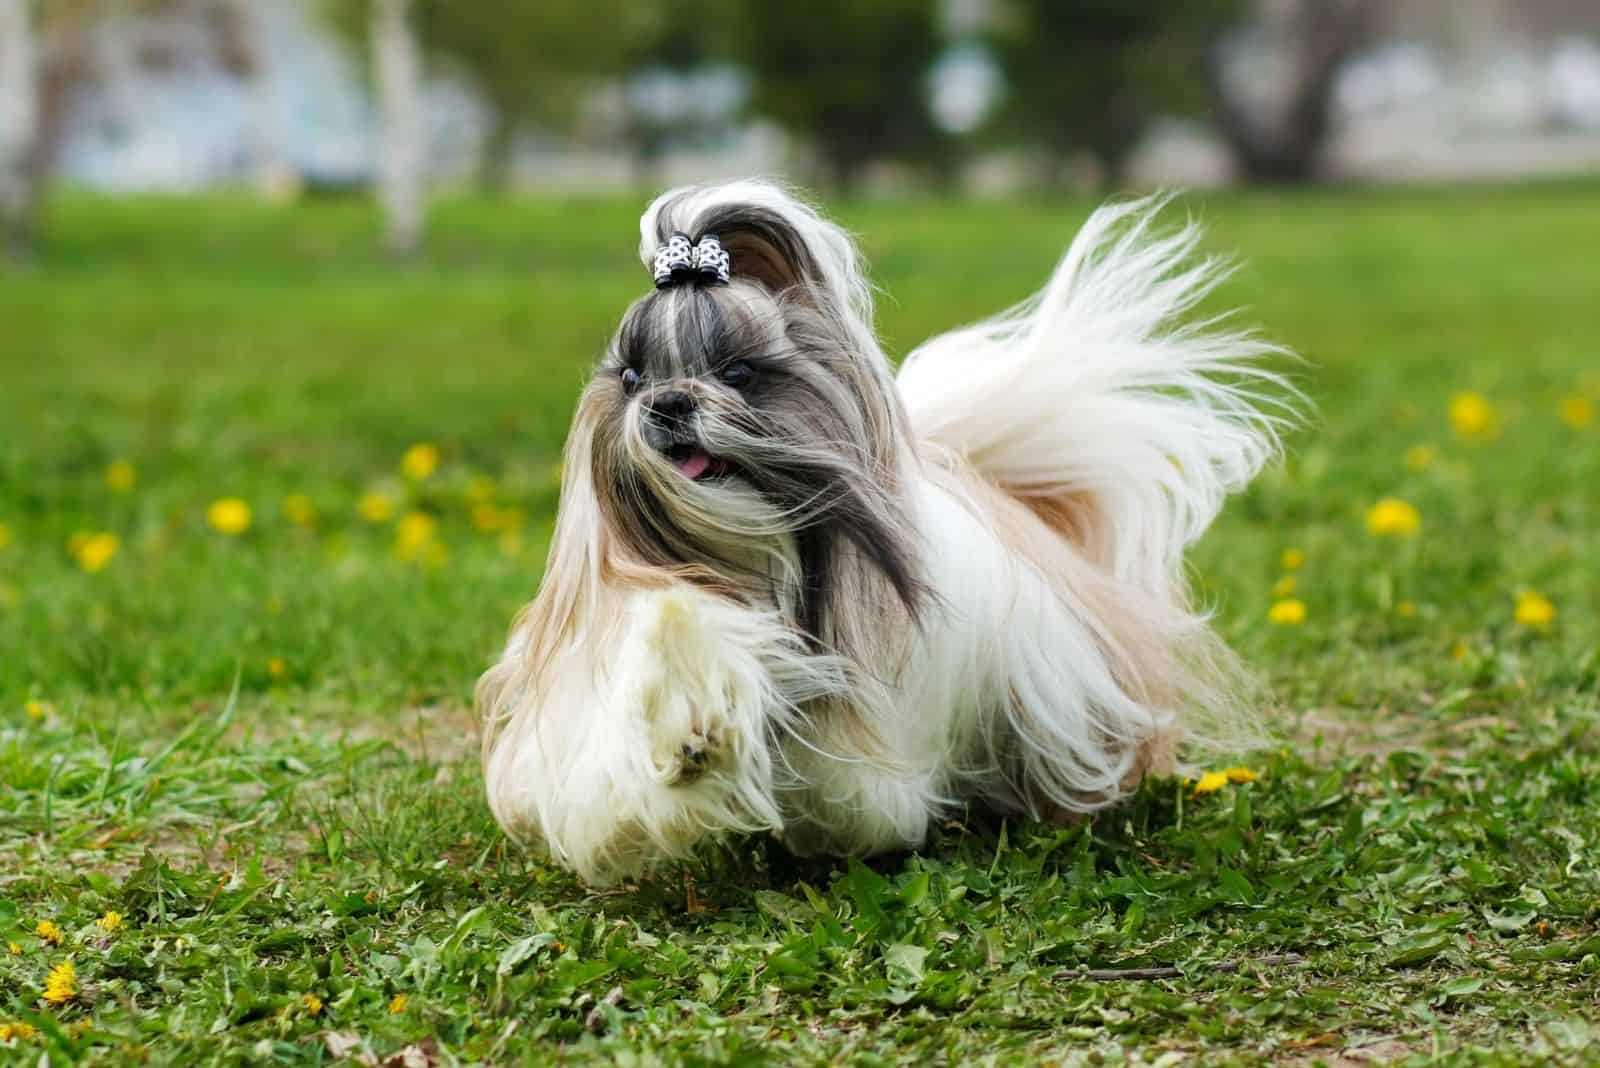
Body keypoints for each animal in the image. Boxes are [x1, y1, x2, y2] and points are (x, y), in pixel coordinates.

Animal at [470, 181, 1286, 882]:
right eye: (633, 377)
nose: (669, 404)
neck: (751, 557)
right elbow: (669, 648)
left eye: (738, 373)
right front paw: (690, 733)